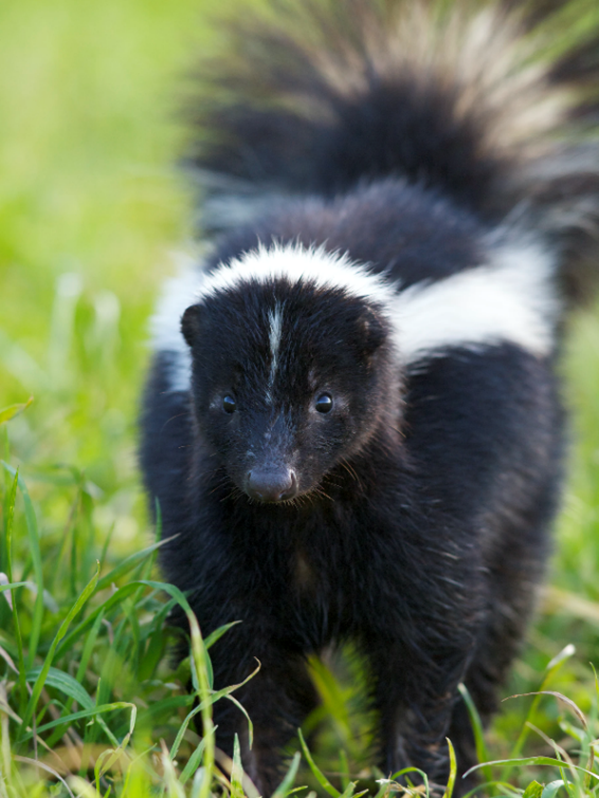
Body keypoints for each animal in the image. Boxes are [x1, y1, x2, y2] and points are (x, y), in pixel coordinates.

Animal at [141, 1, 599, 792]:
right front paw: (248, 770)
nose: (269, 478)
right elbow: (237, 652)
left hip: (529, 477)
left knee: (504, 609)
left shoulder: (433, 504)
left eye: (325, 401)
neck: (308, 519)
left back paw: (474, 750)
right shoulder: (219, 528)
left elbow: (431, 644)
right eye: (226, 403)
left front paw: (412, 774)